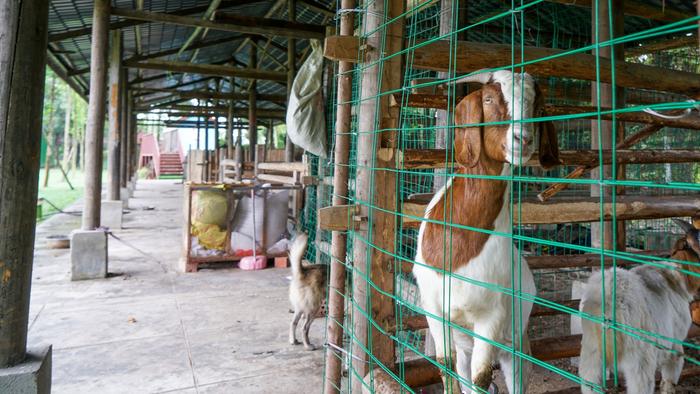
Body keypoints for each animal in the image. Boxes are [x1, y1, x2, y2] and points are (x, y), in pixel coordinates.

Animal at [412, 69, 560, 392]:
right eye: (490, 99)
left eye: (538, 106)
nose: (523, 139)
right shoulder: (434, 308)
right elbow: (445, 367)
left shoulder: (491, 317)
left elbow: (482, 378)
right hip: (466, 344)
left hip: (515, 348)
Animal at [576, 219, 700, 394]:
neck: (677, 277)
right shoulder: (675, 343)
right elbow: (669, 379)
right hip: (640, 359)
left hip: (591, 352)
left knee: (589, 383)